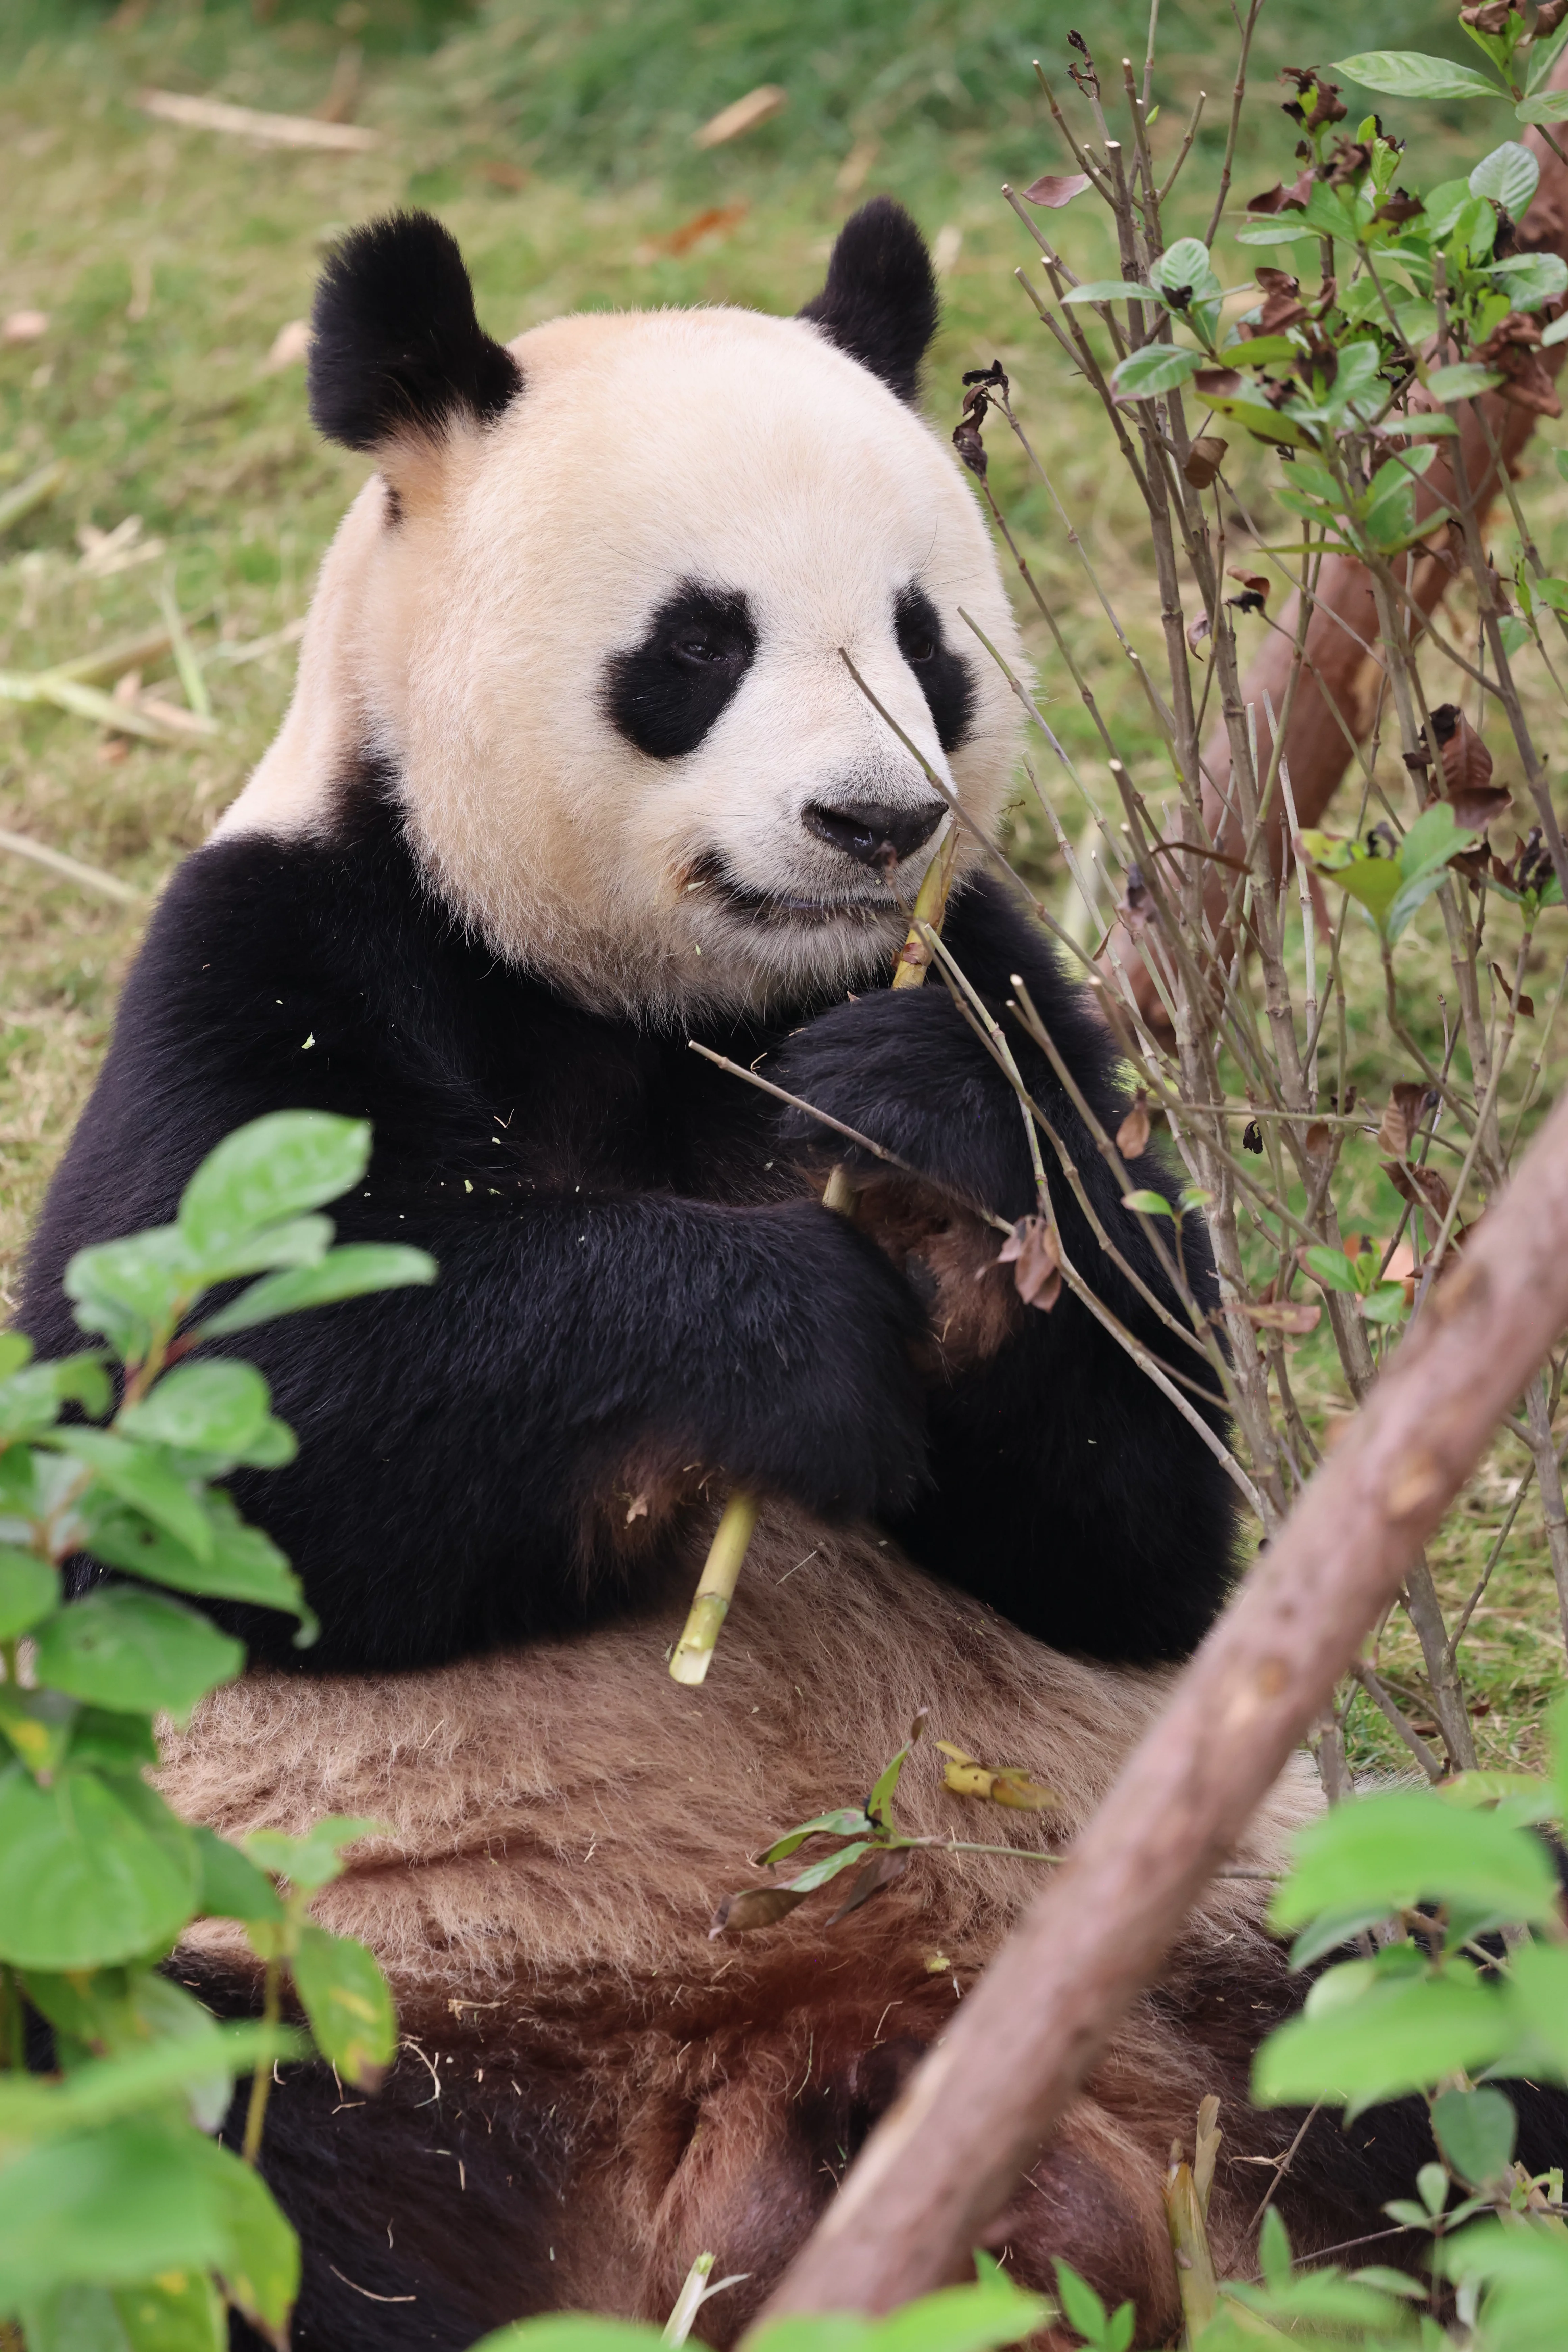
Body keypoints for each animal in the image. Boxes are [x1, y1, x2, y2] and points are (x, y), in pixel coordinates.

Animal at [19, 203, 1464, 2346]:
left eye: (921, 637)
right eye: (696, 647)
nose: (872, 821)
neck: (664, 1010)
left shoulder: (1002, 972)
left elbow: (1140, 1516)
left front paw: (915, 1139)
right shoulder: (283, 939)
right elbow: (200, 1437)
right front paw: (786, 1338)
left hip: (1223, 1925)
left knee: (1435, 2004)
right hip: (334, 1990)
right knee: (186, 2163)